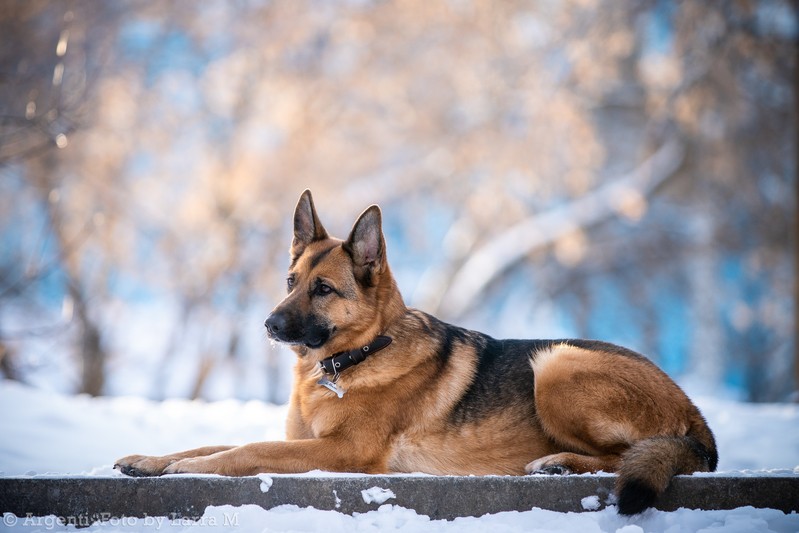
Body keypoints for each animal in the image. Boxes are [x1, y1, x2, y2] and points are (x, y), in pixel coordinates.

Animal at [117, 189, 720, 512]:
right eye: (290, 281)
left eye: (323, 290)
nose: (268, 323)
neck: (354, 359)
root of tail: (694, 413)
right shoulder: (301, 439)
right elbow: (212, 442)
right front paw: (150, 459)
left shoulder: (344, 452)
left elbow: (241, 451)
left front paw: (183, 470)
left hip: (556, 362)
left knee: (624, 457)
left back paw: (558, 464)